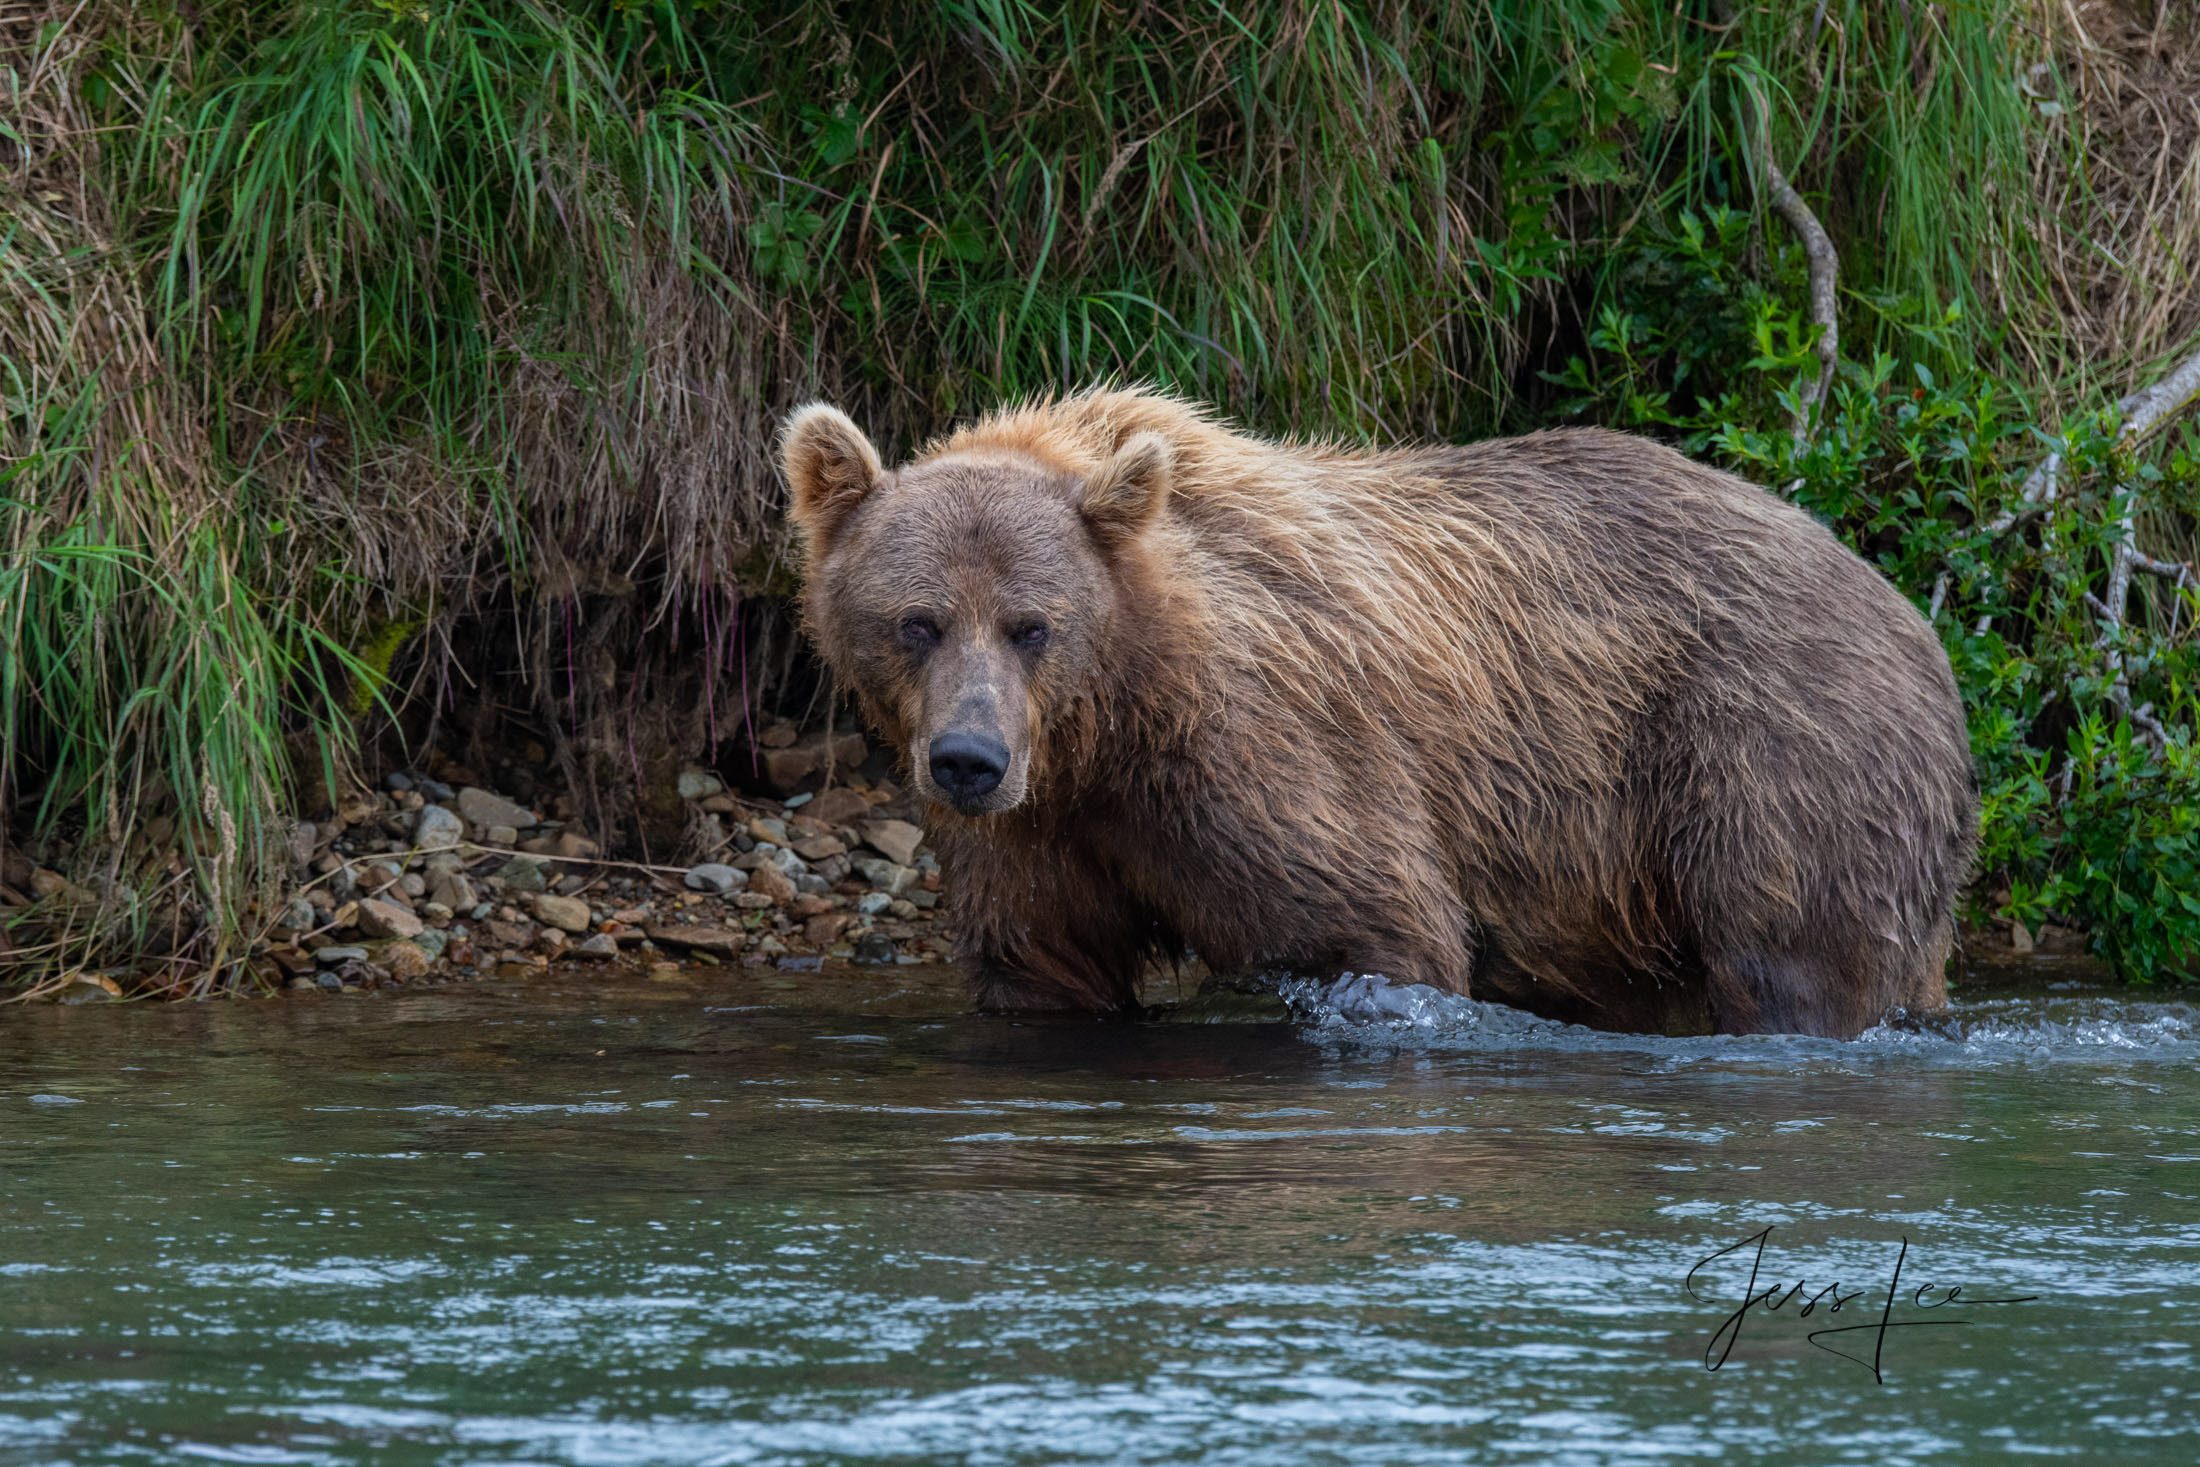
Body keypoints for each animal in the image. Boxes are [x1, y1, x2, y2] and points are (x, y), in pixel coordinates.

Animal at [787, 384, 1980, 1038]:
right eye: (917, 621)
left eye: (1031, 624)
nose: (968, 759)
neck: (1121, 714)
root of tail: (1905, 608)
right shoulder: (1042, 831)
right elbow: (1043, 965)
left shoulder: (1262, 752)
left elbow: (1376, 920)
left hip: (1767, 744)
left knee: (1795, 954)